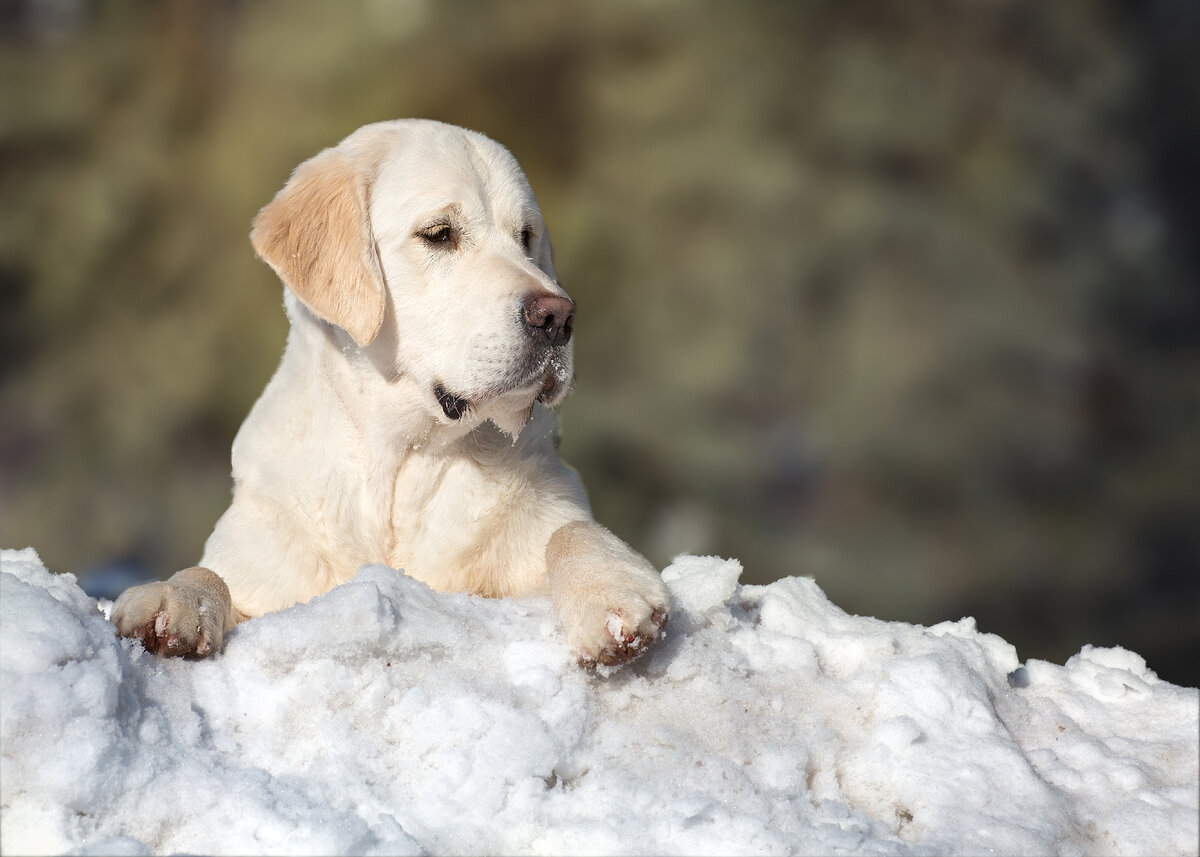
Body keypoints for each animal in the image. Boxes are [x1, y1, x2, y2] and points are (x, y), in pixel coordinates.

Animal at [110, 120, 676, 667]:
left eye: (526, 236)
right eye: (439, 234)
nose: (559, 317)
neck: (400, 458)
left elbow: (571, 531)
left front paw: (608, 592)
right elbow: (211, 573)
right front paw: (173, 600)